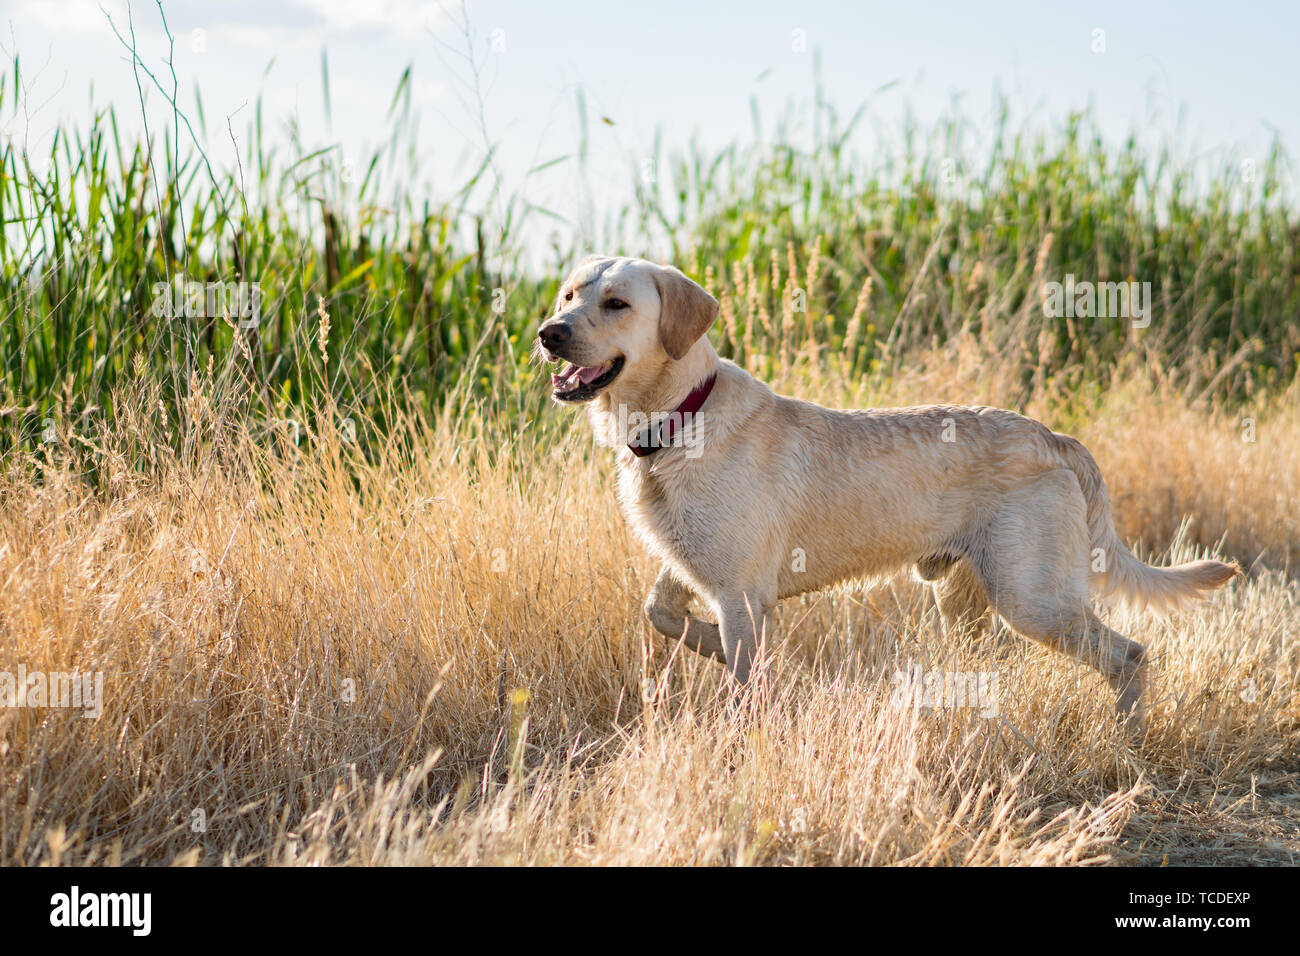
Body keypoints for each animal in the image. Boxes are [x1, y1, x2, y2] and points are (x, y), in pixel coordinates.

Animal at [535, 254, 1237, 733]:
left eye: (617, 303)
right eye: (569, 294)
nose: (549, 332)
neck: (679, 418)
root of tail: (1053, 435)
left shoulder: (738, 592)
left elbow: (741, 679)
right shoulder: (694, 571)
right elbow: (661, 614)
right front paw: (732, 651)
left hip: (1033, 599)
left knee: (1130, 655)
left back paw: (1127, 741)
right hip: (966, 600)